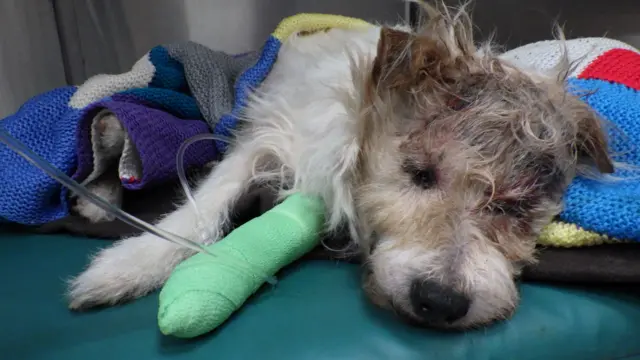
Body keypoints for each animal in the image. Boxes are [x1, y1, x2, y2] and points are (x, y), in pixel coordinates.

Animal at [66, 2, 616, 330]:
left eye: (514, 206)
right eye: (419, 173)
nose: (440, 302)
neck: (357, 122)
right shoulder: (270, 138)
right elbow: (203, 209)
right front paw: (130, 265)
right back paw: (97, 198)